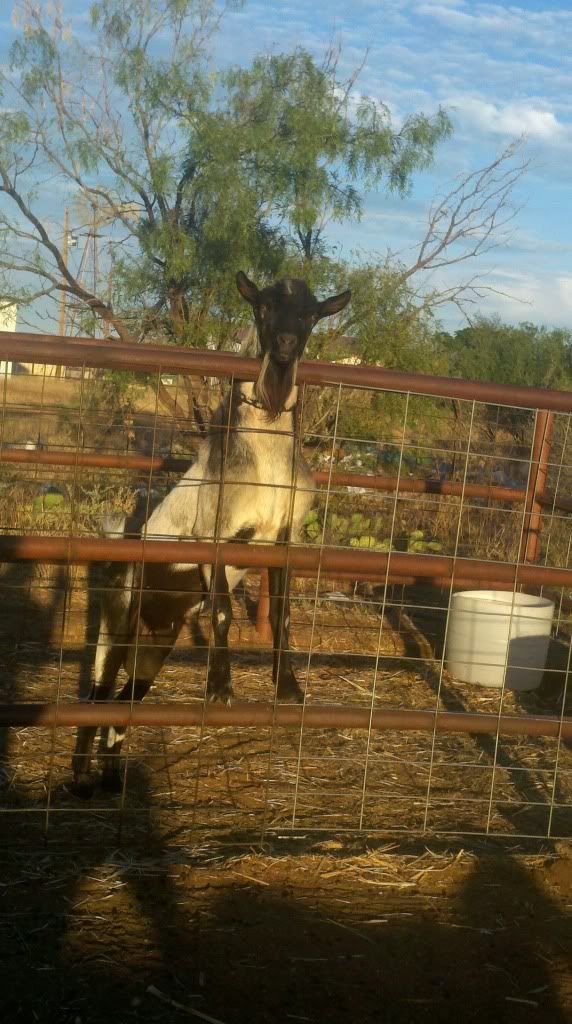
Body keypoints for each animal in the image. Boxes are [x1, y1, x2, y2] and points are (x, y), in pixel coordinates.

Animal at [71, 271, 351, 796]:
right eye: (263, 307)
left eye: (309, 314)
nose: (285, 344)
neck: (265, 465)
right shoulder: (215, 535)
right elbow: (222, 612)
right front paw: (220, 689)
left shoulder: (285, 540)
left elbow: (281, 616)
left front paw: (290, 689)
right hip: (118, 622)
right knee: (96, 694)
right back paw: (79, 777)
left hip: (156, 641)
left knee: (123, 701)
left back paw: (113, 777)